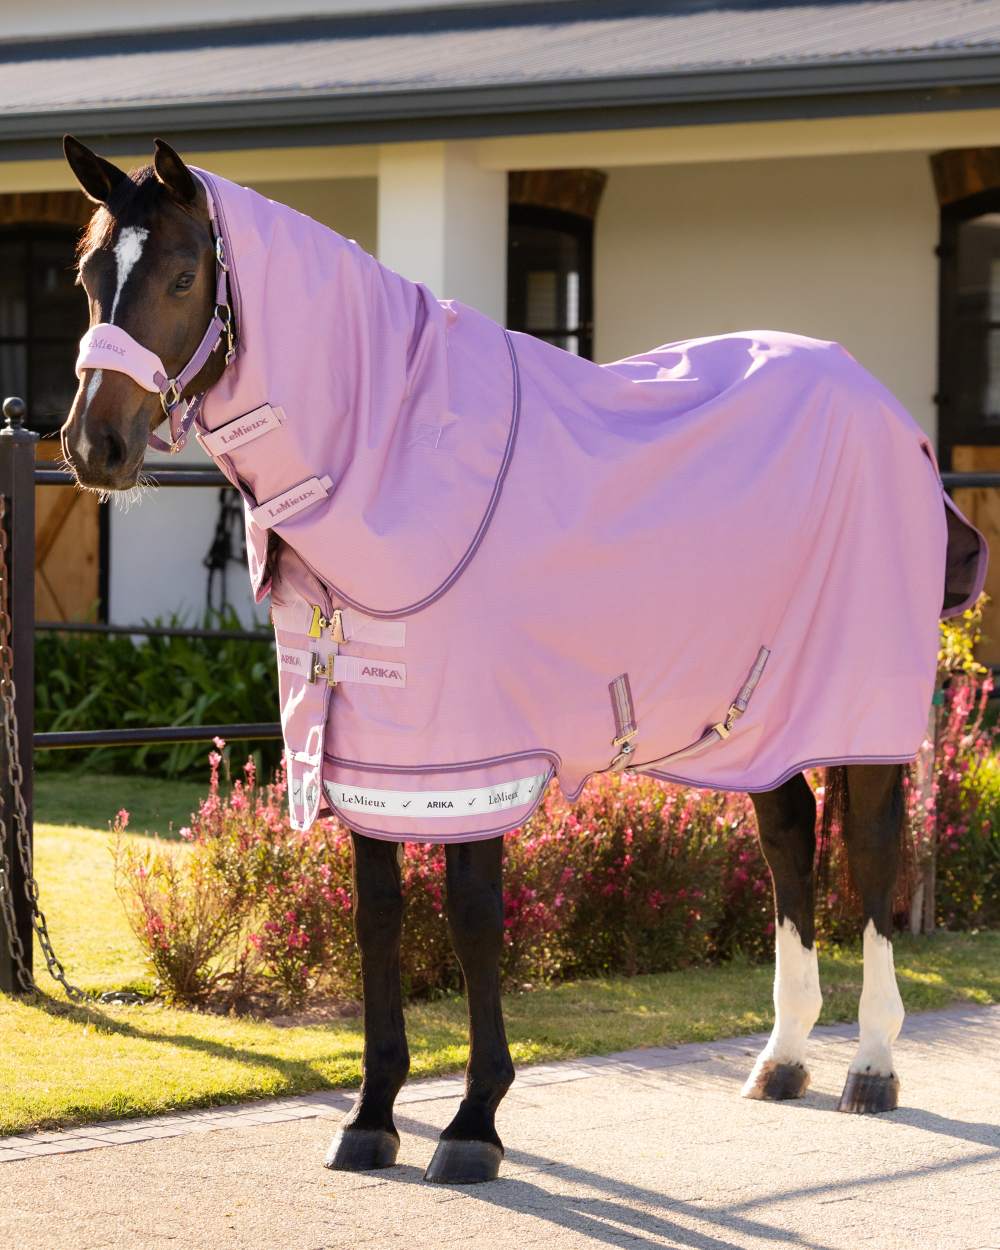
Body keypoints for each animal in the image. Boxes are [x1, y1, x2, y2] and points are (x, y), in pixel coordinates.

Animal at [59, 135, 987, 1185]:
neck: (401, 457)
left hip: (859, 714)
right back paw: (783, 1059)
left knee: (872, 857)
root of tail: (894, 419)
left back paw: (871, 1065)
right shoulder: (374, 759)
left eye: (183, 276)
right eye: (90, 278)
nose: (94, 445)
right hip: (763, 716)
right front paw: (371, 1118)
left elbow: (470, 919)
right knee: (789, 844)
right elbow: (378, 918)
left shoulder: (475, 756)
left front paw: (472, 1126)